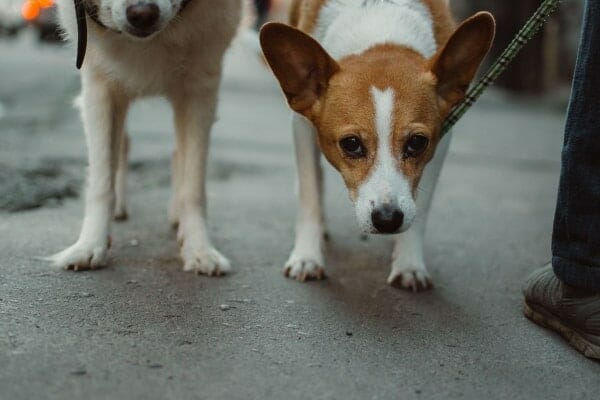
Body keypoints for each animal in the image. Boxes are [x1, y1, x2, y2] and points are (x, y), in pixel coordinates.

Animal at [49, 0, 241, 276]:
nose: (142, 15)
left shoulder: (200, 91)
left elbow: (193, 186)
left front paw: (200, 250)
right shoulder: (100, 88)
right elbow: (101, 181)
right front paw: (90, 246)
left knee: (177, 154)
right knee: (123, 146)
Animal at [260, 0, 494, 290]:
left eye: (417, 142)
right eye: (351, 144)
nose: (387, 219)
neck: (379, 25)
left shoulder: (442, 138)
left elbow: (421, 210)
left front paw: (409, 263)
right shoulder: (302, 126)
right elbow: (309, 193)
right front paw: (307, 257)